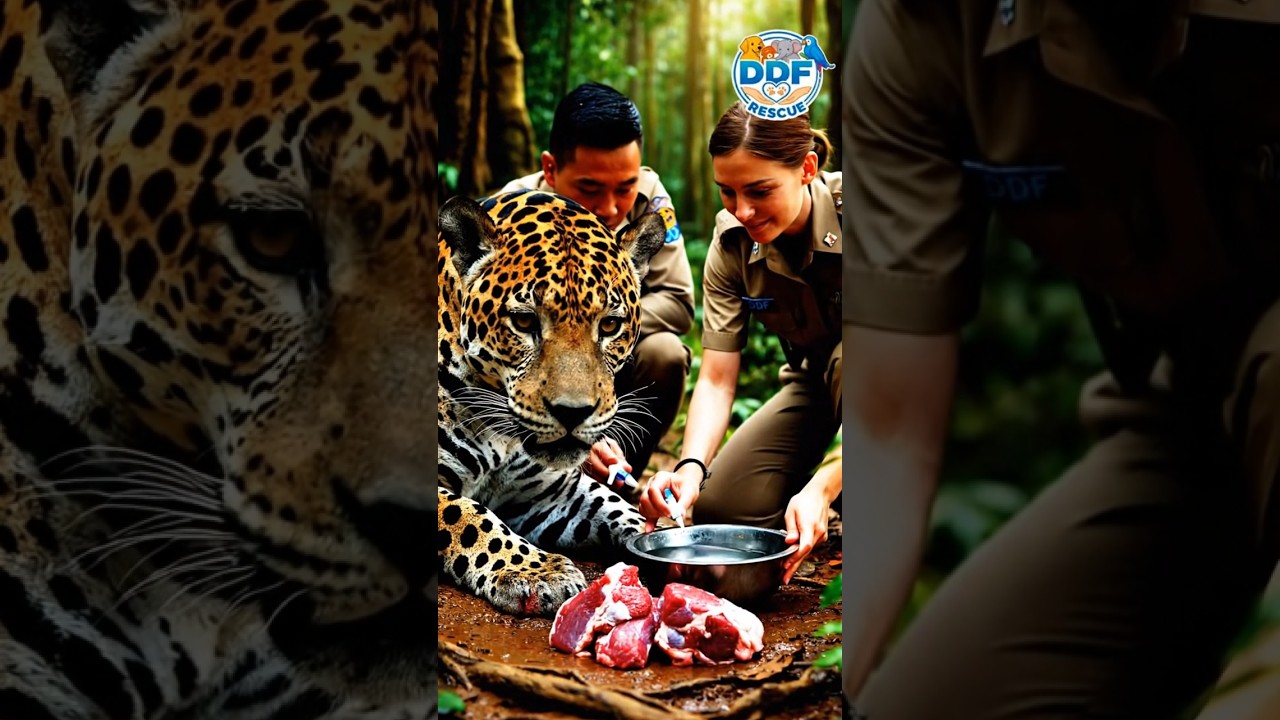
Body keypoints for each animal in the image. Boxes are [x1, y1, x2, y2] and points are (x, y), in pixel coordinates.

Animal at [437, 189, 665, 618]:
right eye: (525, 322)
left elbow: (611, 503)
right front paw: (535, 572)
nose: (573, 412)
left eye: (610, 325)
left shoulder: (549, 496)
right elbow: (470, 515)